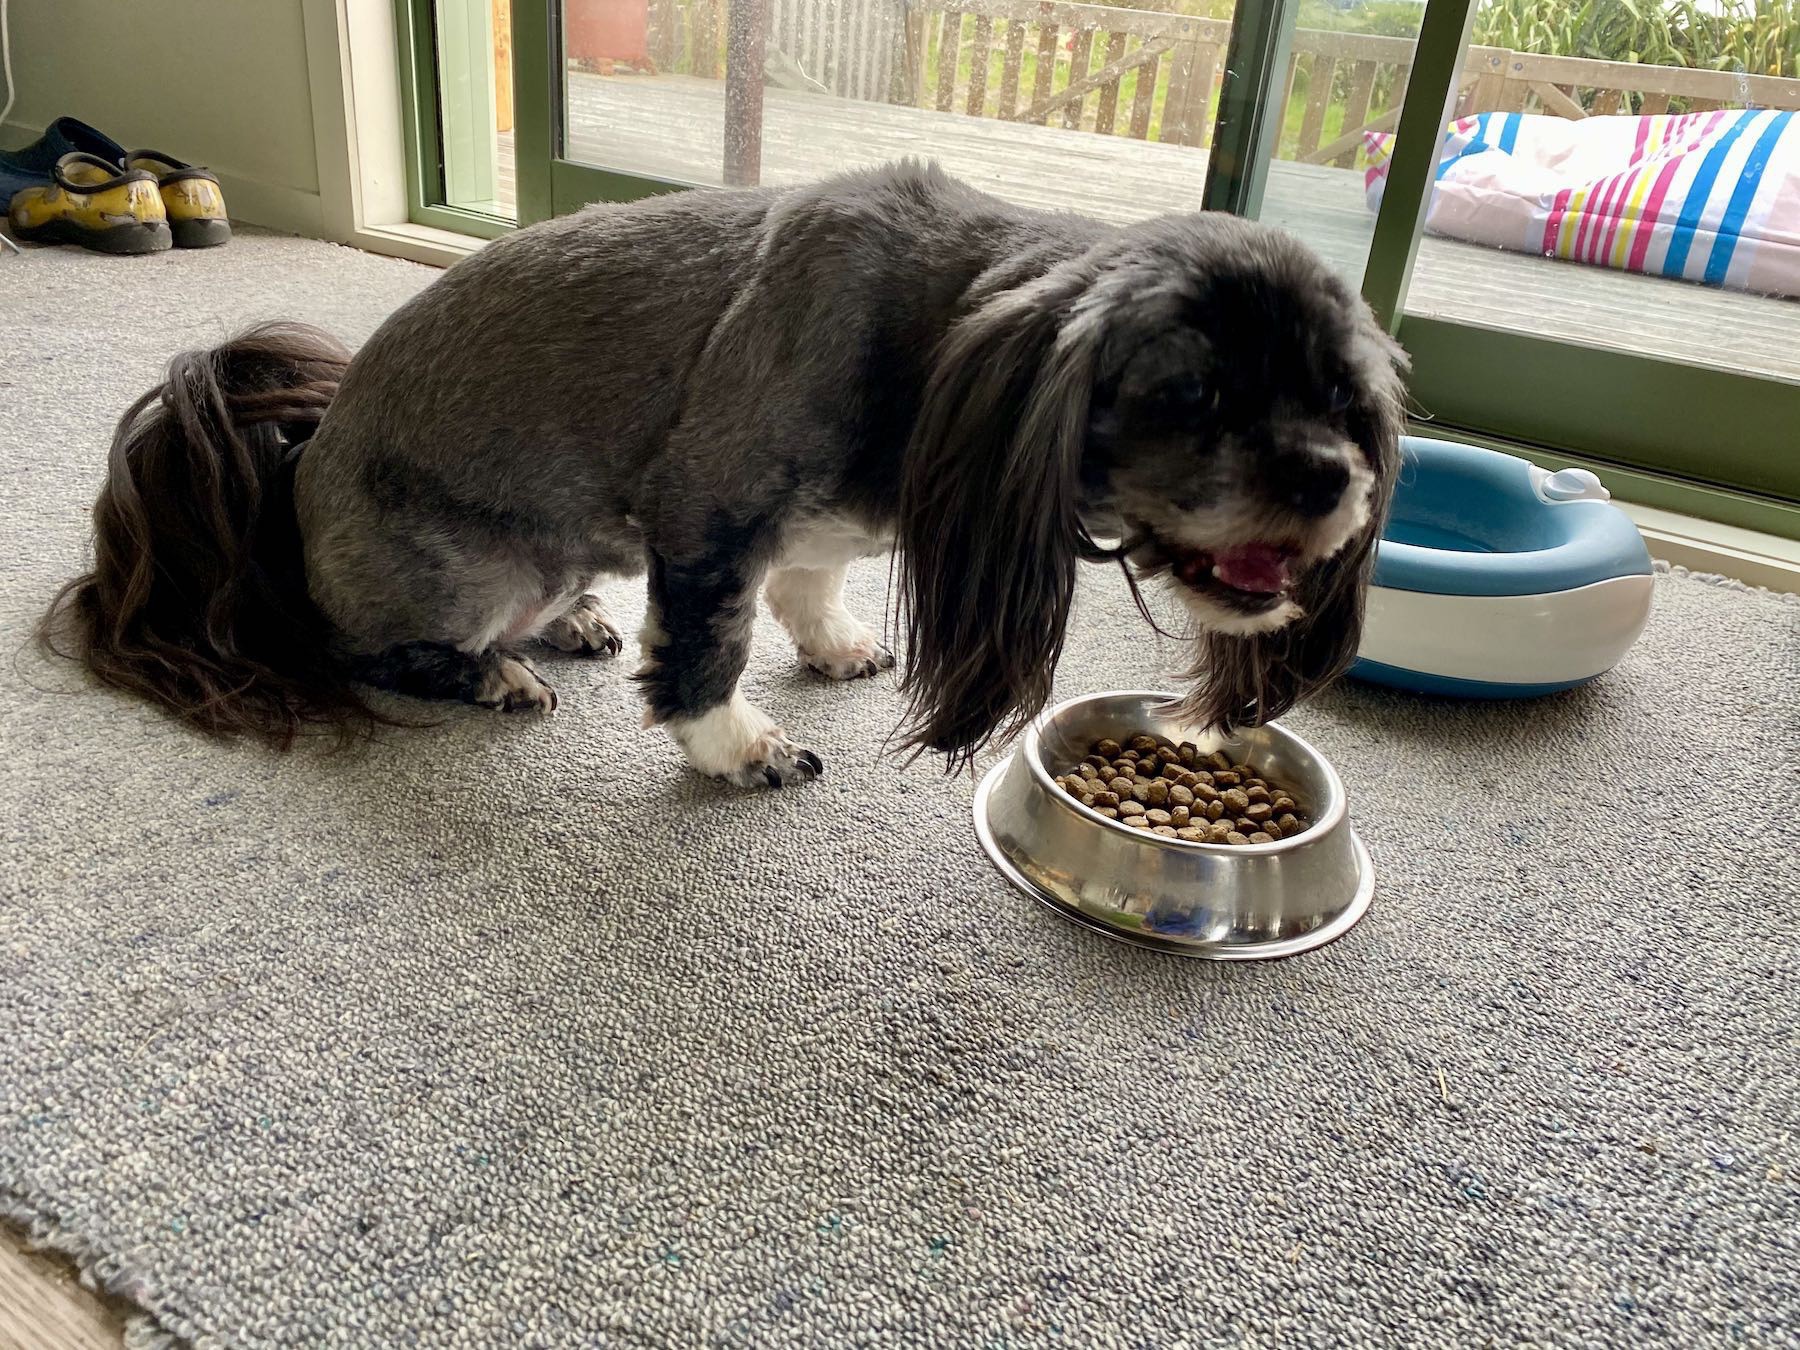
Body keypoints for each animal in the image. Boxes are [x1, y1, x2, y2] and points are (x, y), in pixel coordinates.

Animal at [38, 162, 1404, 788]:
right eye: (1194, 395)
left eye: (1344, 397)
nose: (1332, 479)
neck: (923, 344)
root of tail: (299, 462)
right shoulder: (707, 514)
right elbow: (710, 649)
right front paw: (738, 745)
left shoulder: (805, 532)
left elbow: (807, 589)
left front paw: (835, 643)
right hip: (471, 571)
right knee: (373, 646)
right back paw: (494, 673)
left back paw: (575, 624)